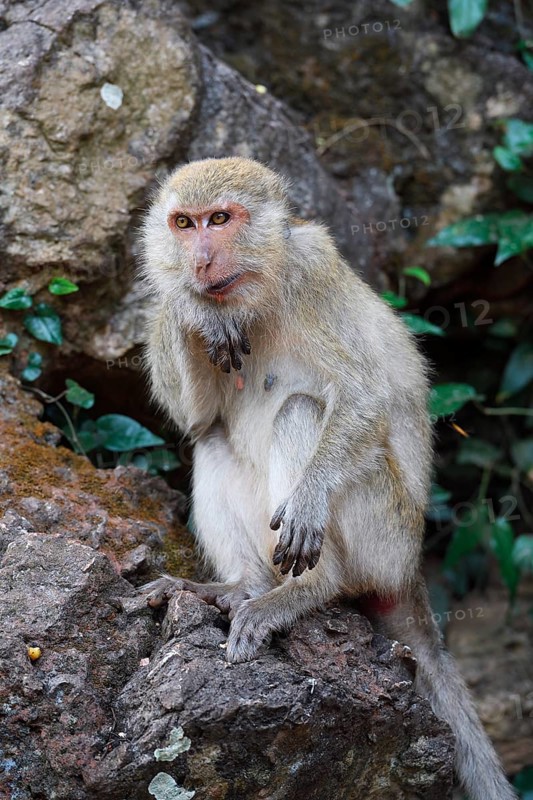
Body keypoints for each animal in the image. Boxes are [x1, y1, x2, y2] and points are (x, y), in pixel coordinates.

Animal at [139, 156, 516, 800]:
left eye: (221, 220)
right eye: (183, 224)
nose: (200, 261)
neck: (260, 287)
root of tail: (410, 572)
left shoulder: (312, 273)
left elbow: (363, 397)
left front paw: (311, 499)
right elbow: (197, 418)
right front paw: (191, 305)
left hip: (384, 536)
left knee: (301, 412)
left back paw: (310, 588)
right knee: (211, 442)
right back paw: (236, 587)